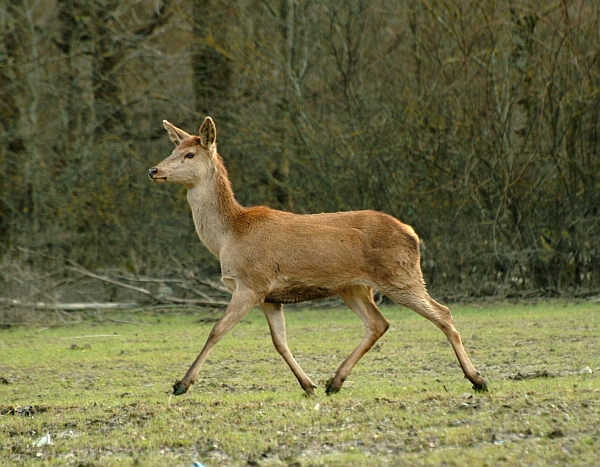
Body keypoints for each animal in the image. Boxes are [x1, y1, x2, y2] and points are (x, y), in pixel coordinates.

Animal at [149, 118, 488, 398]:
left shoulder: (252, 283)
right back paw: (334, 382)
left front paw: (181, 384)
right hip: (354, 286)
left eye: (190, 155)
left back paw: (477, 379)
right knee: (378, 323)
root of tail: (412, 234)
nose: (154, 170)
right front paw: (308, 384)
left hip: (399, 275)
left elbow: (216, 330)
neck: (229, 236)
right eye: (174, 147)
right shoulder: (270, 296)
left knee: (443, 313)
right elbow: (280, 342)